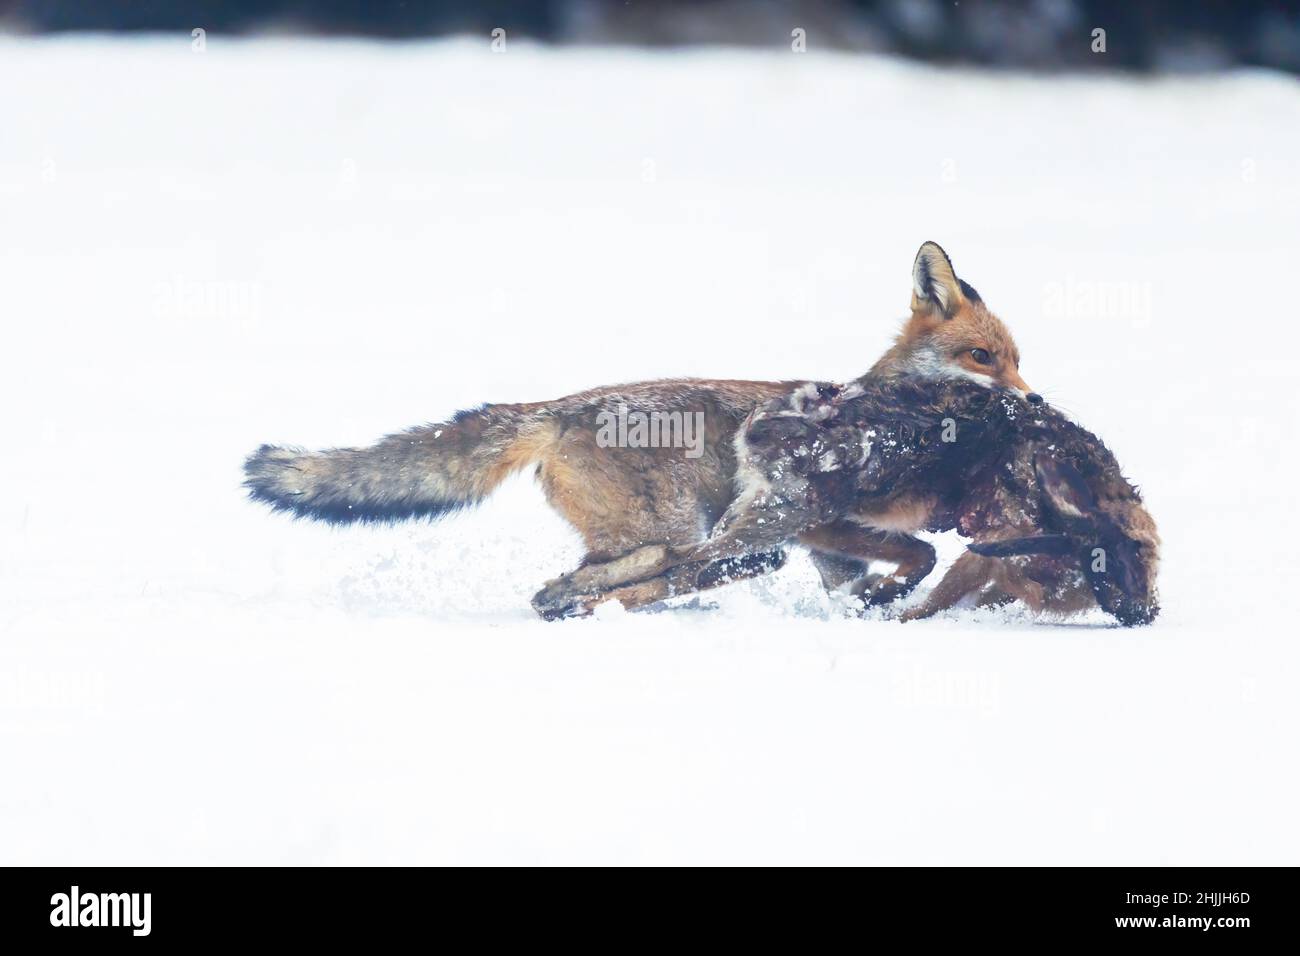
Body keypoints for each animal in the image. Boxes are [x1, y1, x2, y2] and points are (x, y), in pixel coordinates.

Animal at [244, 241, 1040, 617]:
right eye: (983, 357)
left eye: (1018, 360)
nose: (1033, 401)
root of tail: (560, 407)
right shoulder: (816, 522)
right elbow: (920, 556)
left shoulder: (829, 545)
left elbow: (899, 568)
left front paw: (874, 605)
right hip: (683, 526)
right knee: (638, 568)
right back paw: (589, 597)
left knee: (600, 577)